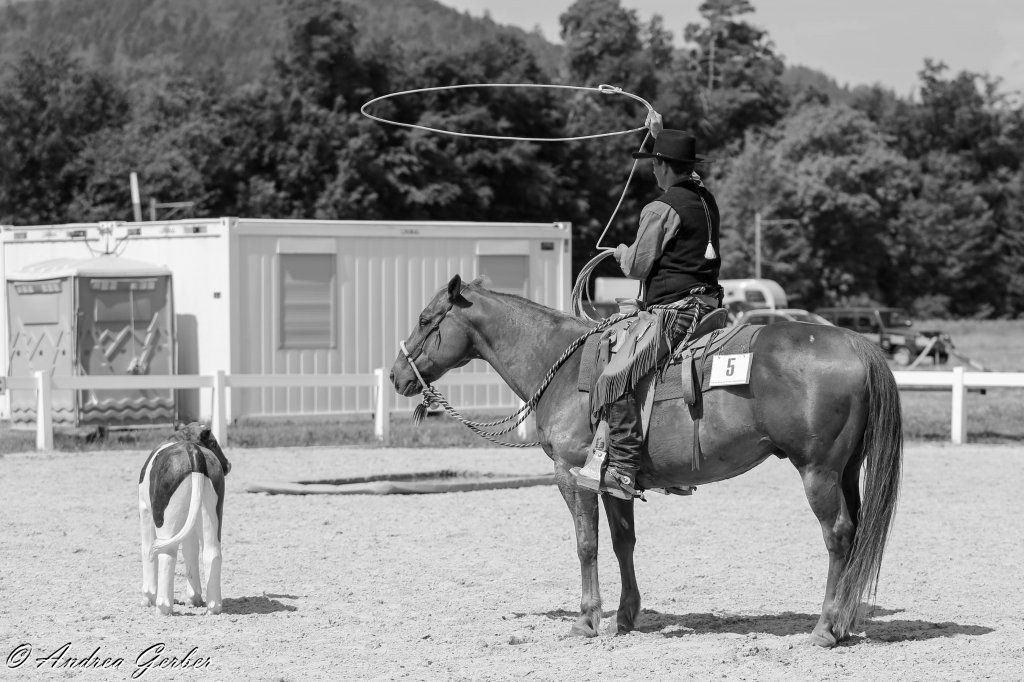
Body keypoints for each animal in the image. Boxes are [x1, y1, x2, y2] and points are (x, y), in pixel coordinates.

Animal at [390, 275, 902, 647]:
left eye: (425, 318)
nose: (397, 376)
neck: (566, 369)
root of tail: (857, 343)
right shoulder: (612, 477)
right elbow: (623, 542)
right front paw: (625, 616)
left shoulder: (571, 475)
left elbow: (587, 544)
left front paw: (586, 620)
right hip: (846, 471)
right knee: (857, 534)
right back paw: (846, 623)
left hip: (818, 472)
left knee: (838, 536)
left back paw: (825, 629)